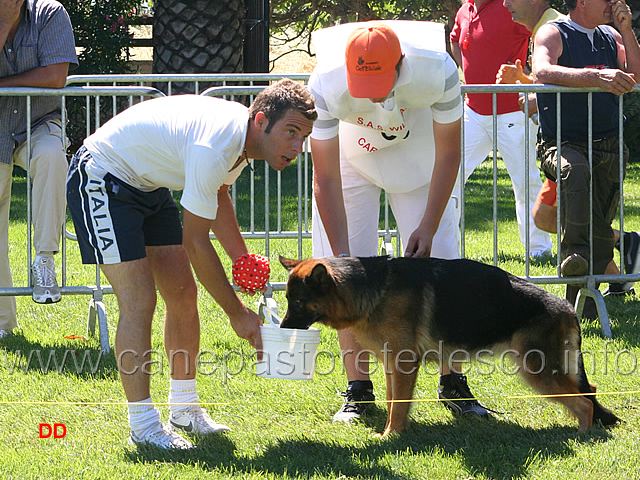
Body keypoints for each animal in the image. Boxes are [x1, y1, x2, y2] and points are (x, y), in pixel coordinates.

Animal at [278, 256, 616, 436]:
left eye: (298, 302)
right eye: (288, 300)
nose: (281, 329)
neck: (373, 289)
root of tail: (567, 307)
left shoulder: (404, 364)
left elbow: (398, 406)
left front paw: (391, 436)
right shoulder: (391, 366)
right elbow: (392, 401)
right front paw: (393, 430)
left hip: (538, 372)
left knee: (584, 402)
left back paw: (583, 435)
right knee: (590, 390)